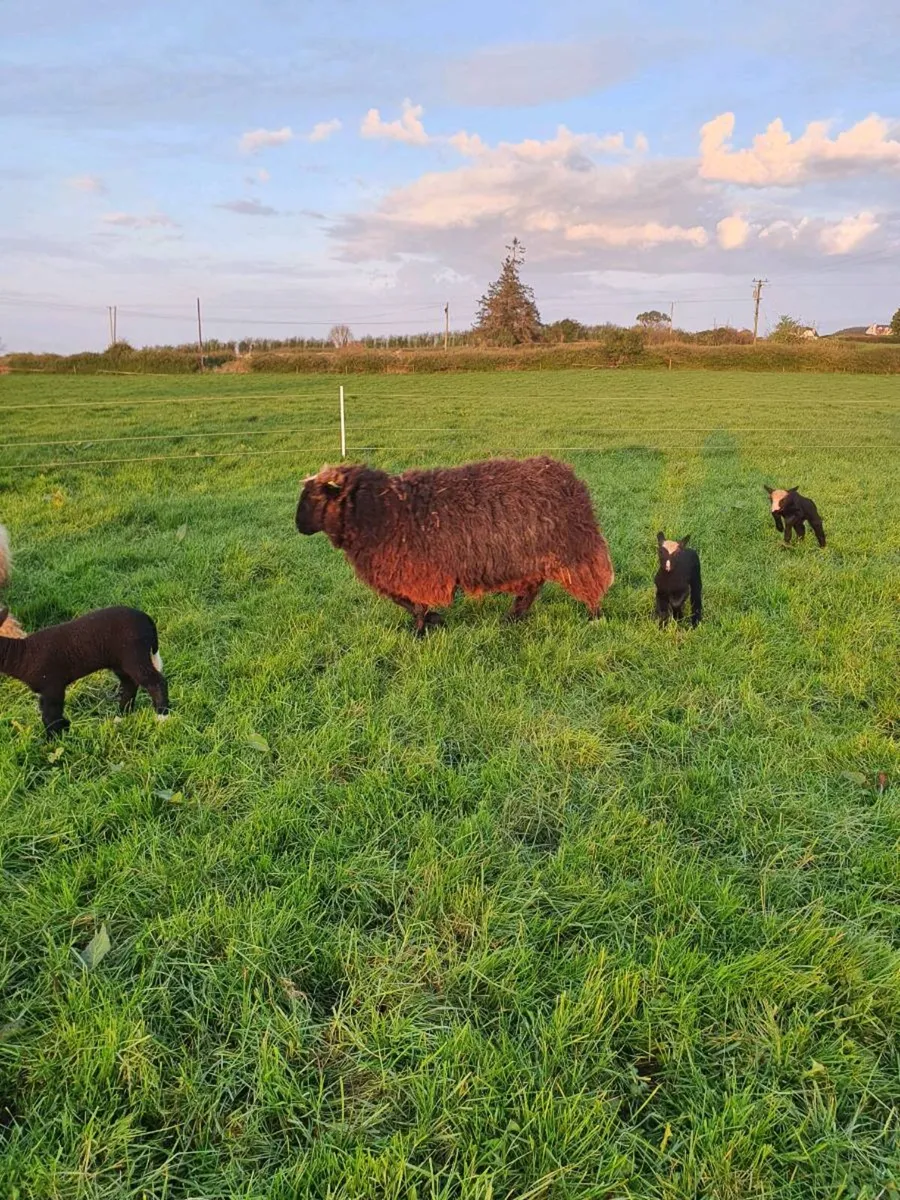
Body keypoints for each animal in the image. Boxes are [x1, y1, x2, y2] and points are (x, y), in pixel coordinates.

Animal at [0, 605, 169, 738]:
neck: (22, 655)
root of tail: (147, 619)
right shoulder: (44, 691)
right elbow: (47, 714)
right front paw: (63, 729)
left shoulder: (52, 685)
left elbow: (51, 714)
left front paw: (55, 739)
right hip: (120, 662)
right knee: (130, 684)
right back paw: (121, 716)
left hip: (134, 655)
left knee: (156, 682)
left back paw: (162, 716)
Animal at [295, 456, 615, 635]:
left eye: (315, 497)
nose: (298, 527)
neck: (383, 511)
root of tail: (571, 479)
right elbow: (407, 603)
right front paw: (433, 621)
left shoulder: (415, 572)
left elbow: (414, 606)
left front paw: (421, 630)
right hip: (529, 559)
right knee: (531, 588)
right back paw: (512, 618)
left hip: (574, 552)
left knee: (589, 584)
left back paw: (594, 617)